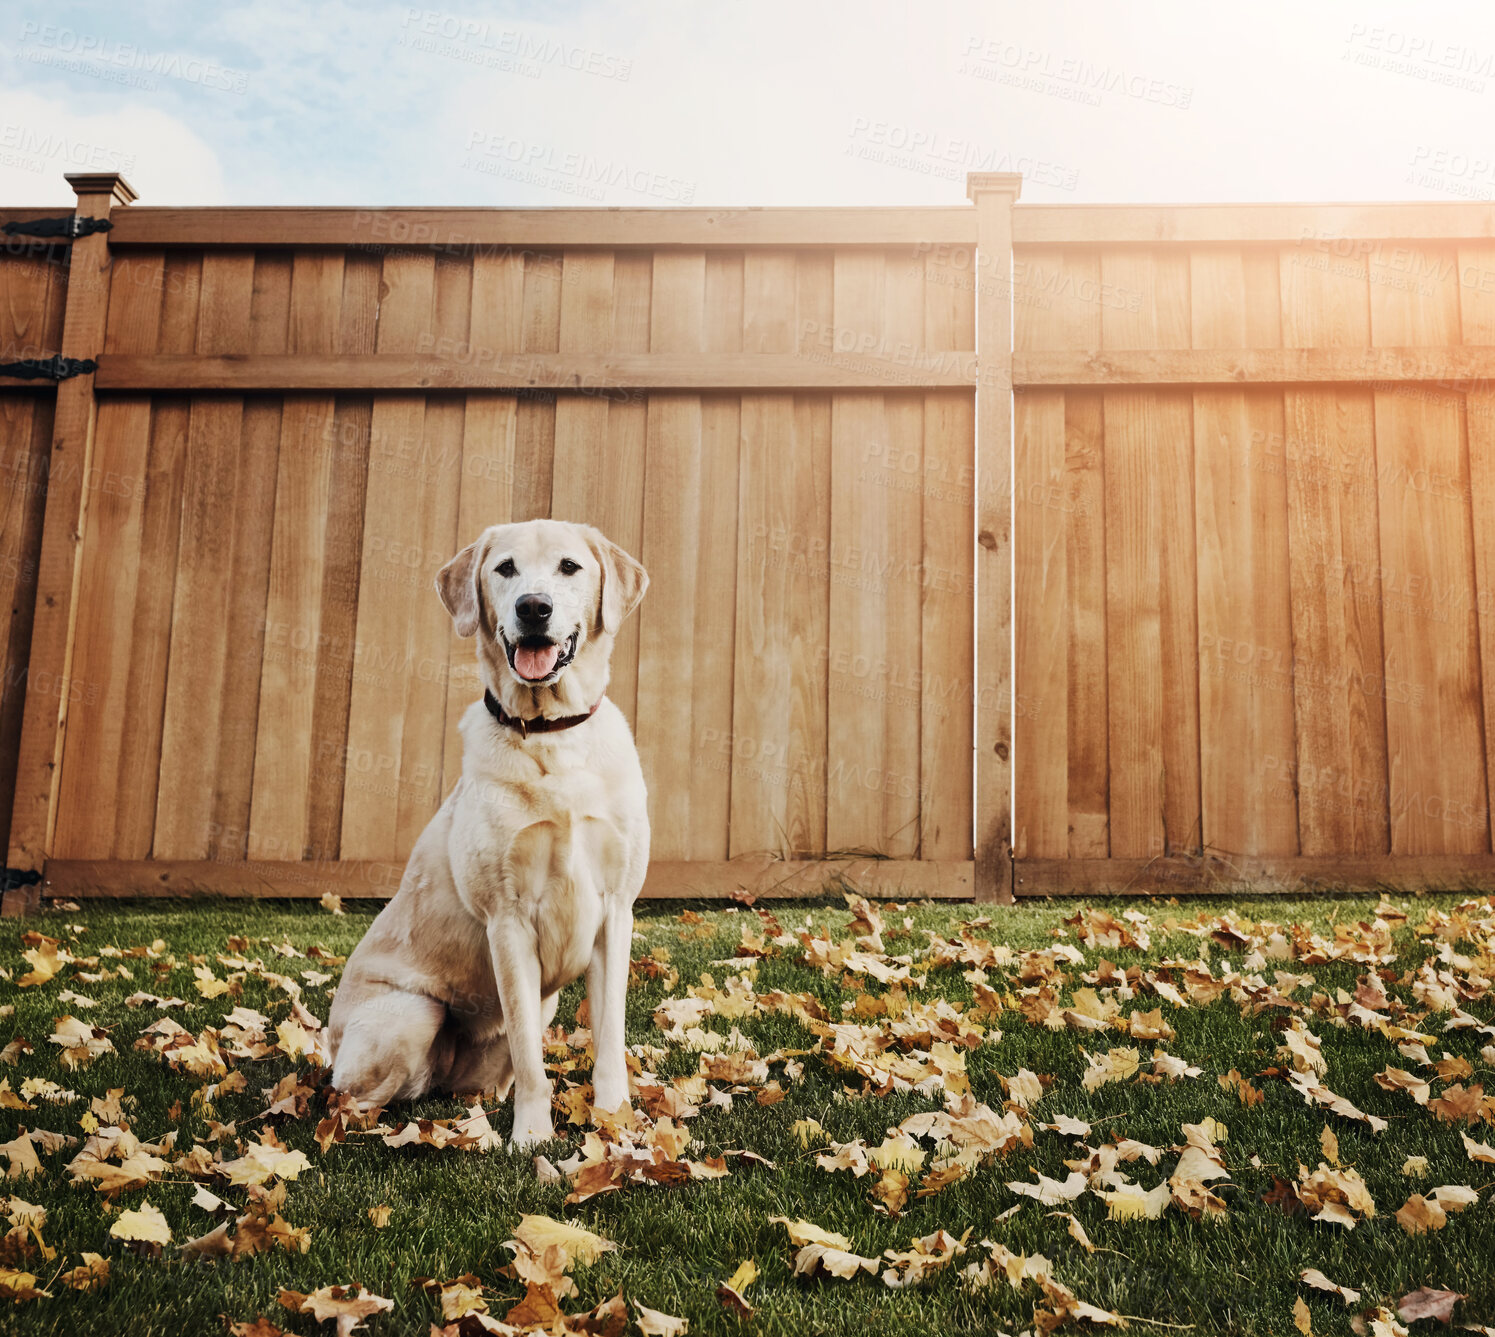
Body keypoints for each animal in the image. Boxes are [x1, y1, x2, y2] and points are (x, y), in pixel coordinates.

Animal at [327, 517, 648, 1148]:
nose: (533, 607)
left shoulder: (614, 913)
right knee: (350, 1100)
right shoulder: (508, 921)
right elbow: (530, 1057)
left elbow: (609, 1040)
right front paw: (533, 1138)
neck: (551, 735)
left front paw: (614, 1121)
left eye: (569, 567)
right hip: (410, 1016)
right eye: (505, 569)